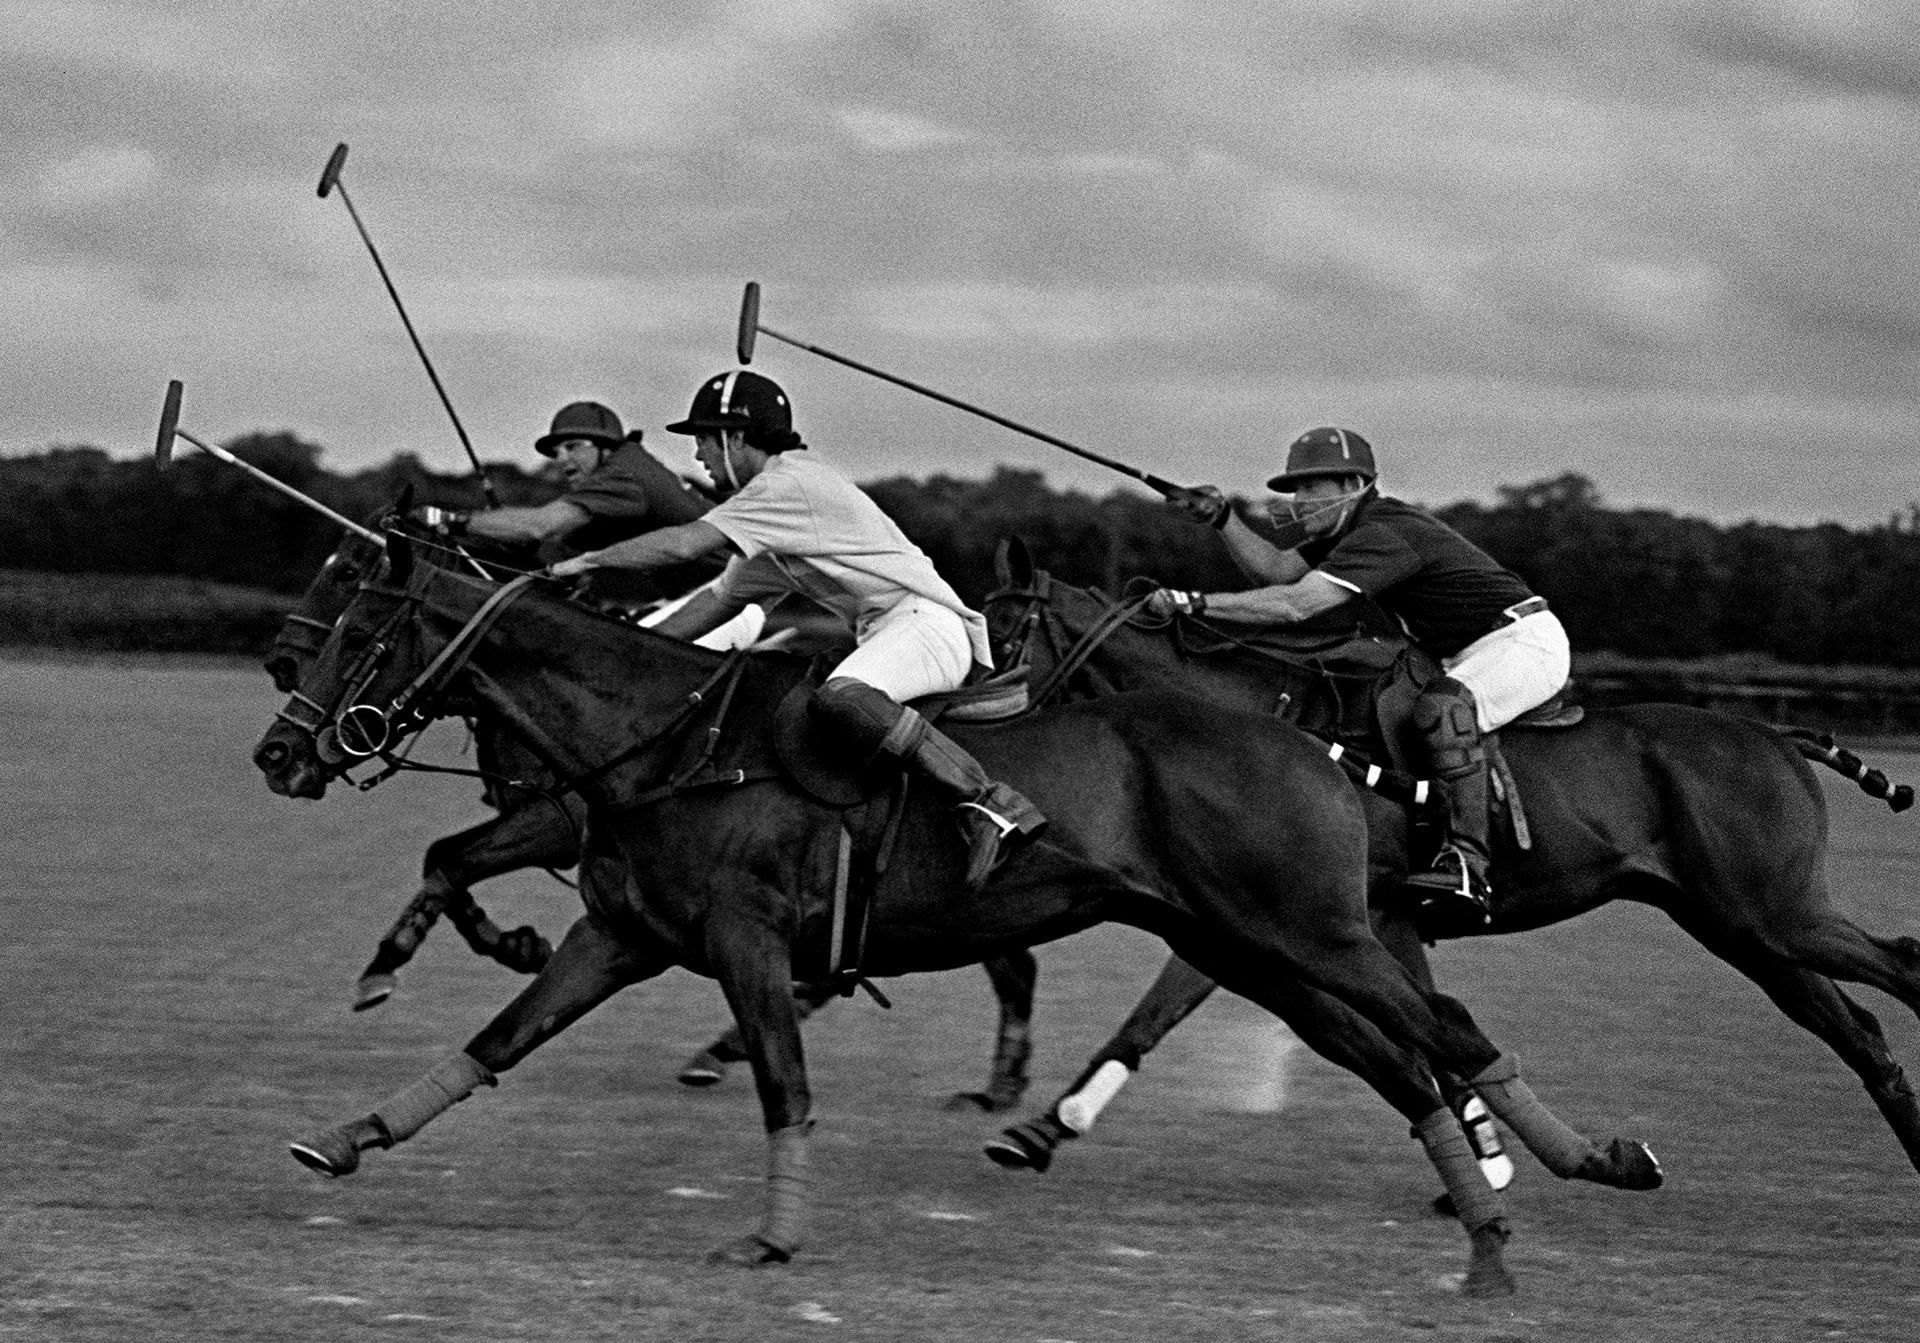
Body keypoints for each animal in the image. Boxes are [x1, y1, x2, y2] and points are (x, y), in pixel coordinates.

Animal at [261, 525, 1040, 1110]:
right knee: (1004, 954)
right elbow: (446, 861)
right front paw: (501, 946)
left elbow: (449, 857)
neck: (658, 723)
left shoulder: (555, 821)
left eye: (353, 609)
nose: (276, 751)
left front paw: (432, 959)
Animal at [977, 539, 1920, 1188]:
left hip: (1771, 910)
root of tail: (1775, 731)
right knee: (1860, 1029)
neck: (1260, 717)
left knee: (1899, 968)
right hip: (1744, 926)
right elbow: (1432, 1035)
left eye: (1000, 627)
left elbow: (1164, 1011)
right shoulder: (1356, 920)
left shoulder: (1295, 918)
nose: (965, 719)